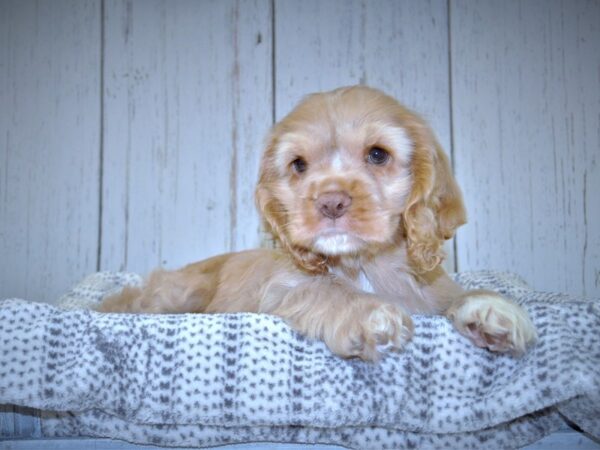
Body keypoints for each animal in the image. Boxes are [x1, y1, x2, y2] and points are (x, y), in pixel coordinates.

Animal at [99, 85, 540, 362]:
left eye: (378, 155)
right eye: (299, 165)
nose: (331, 201)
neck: (362, 266)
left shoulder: (427, 289)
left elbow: (451, 294)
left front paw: (489, 306)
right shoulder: (283, 288)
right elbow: (325, 288)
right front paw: (367, 311)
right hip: (172, 294)